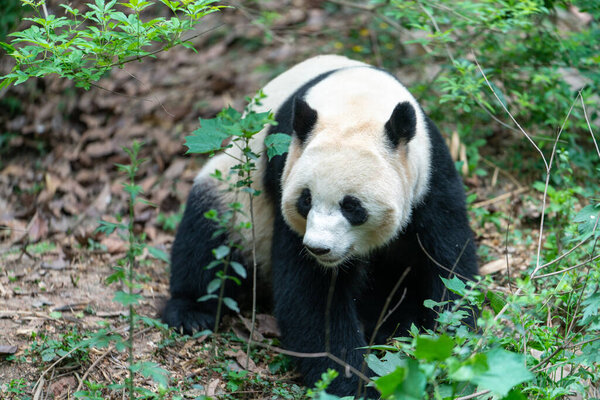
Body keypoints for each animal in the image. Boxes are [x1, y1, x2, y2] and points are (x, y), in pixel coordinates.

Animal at [163, 55, 478, 396]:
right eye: (305, 200)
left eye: (352, 206)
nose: (319, 248)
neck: (356, 103)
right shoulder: (284, 166)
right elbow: (312, 296)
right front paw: (353, 384)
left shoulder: (429, 176)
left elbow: (448, 263)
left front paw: (452, 344)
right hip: (234, 199)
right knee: (206, 238)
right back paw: (190, 313)